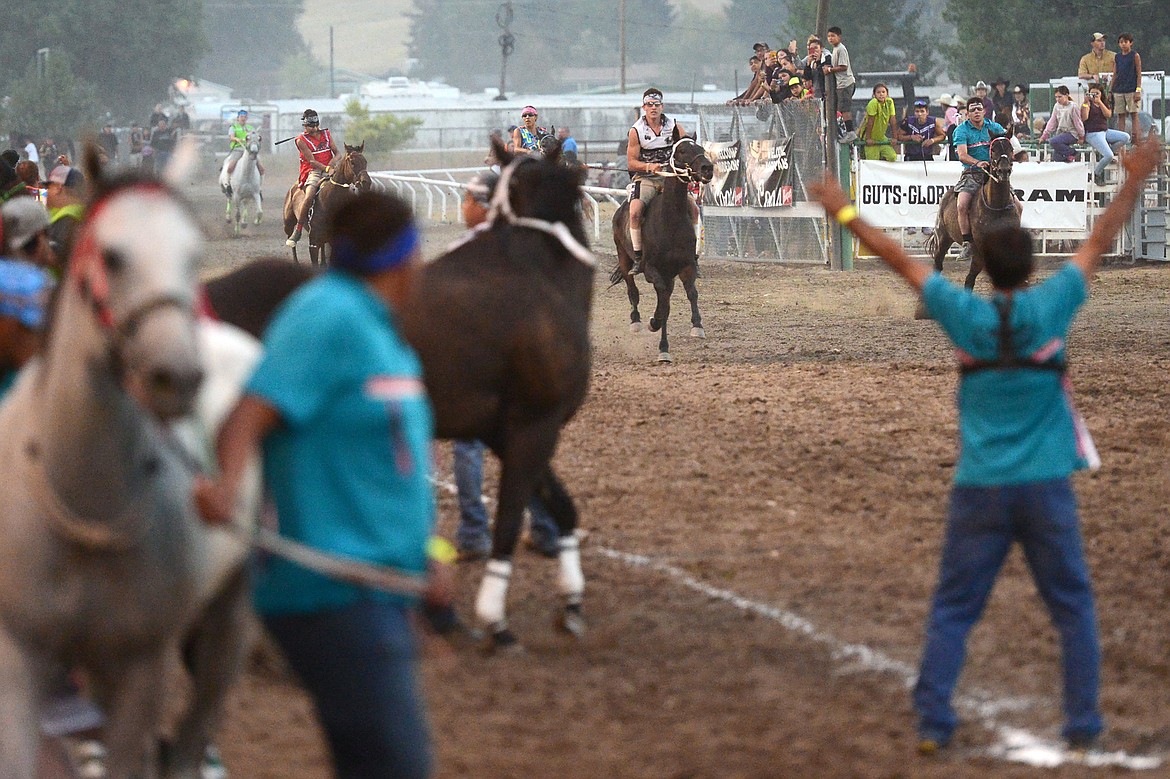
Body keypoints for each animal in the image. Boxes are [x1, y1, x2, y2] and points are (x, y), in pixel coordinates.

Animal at [0, 153, 258, 776]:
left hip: (230, 606)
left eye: (193, 253)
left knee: (197, 719)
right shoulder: (21, 656)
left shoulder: (141, 664)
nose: (176, 376)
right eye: (112, 255)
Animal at [926, 135, 1020, 290]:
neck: (997, 206)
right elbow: (970, 278)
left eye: (1011, 148)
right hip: (942, 239)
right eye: (993, 149)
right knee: (938, 265)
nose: (1003, 171)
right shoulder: (981, 250)